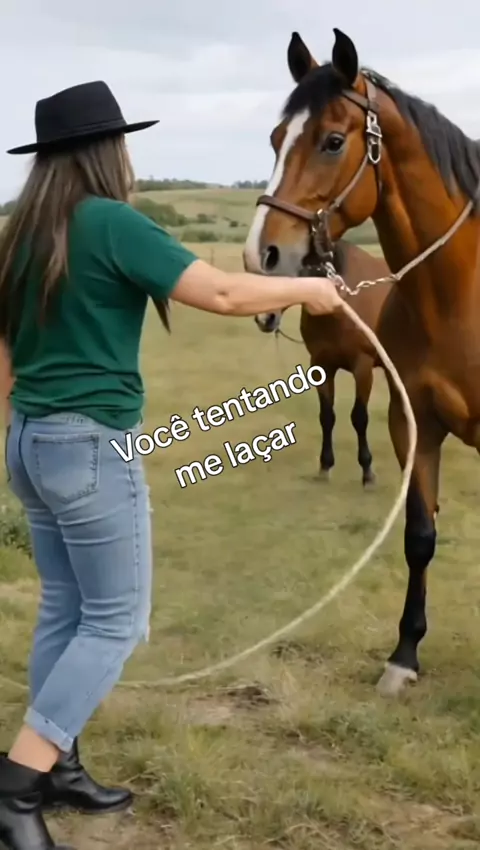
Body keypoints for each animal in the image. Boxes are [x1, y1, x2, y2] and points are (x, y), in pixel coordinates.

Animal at [253, 239, 392, 485]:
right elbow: (327, 416)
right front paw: (325, 465)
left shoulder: (363, 367)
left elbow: (359, 417)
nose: (264, 318)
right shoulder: (321, 366)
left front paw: (367, 470)